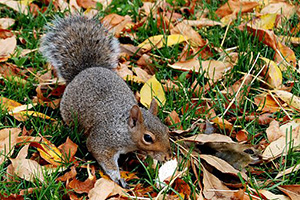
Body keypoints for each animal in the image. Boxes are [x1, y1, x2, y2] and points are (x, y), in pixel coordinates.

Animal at [39, 16, 172, 188]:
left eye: (166, 129)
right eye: (148, 138)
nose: (168, 156)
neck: (123, 130)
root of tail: (86, 70)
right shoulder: (104, 140)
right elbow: (101, 155)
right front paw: (118, 178)